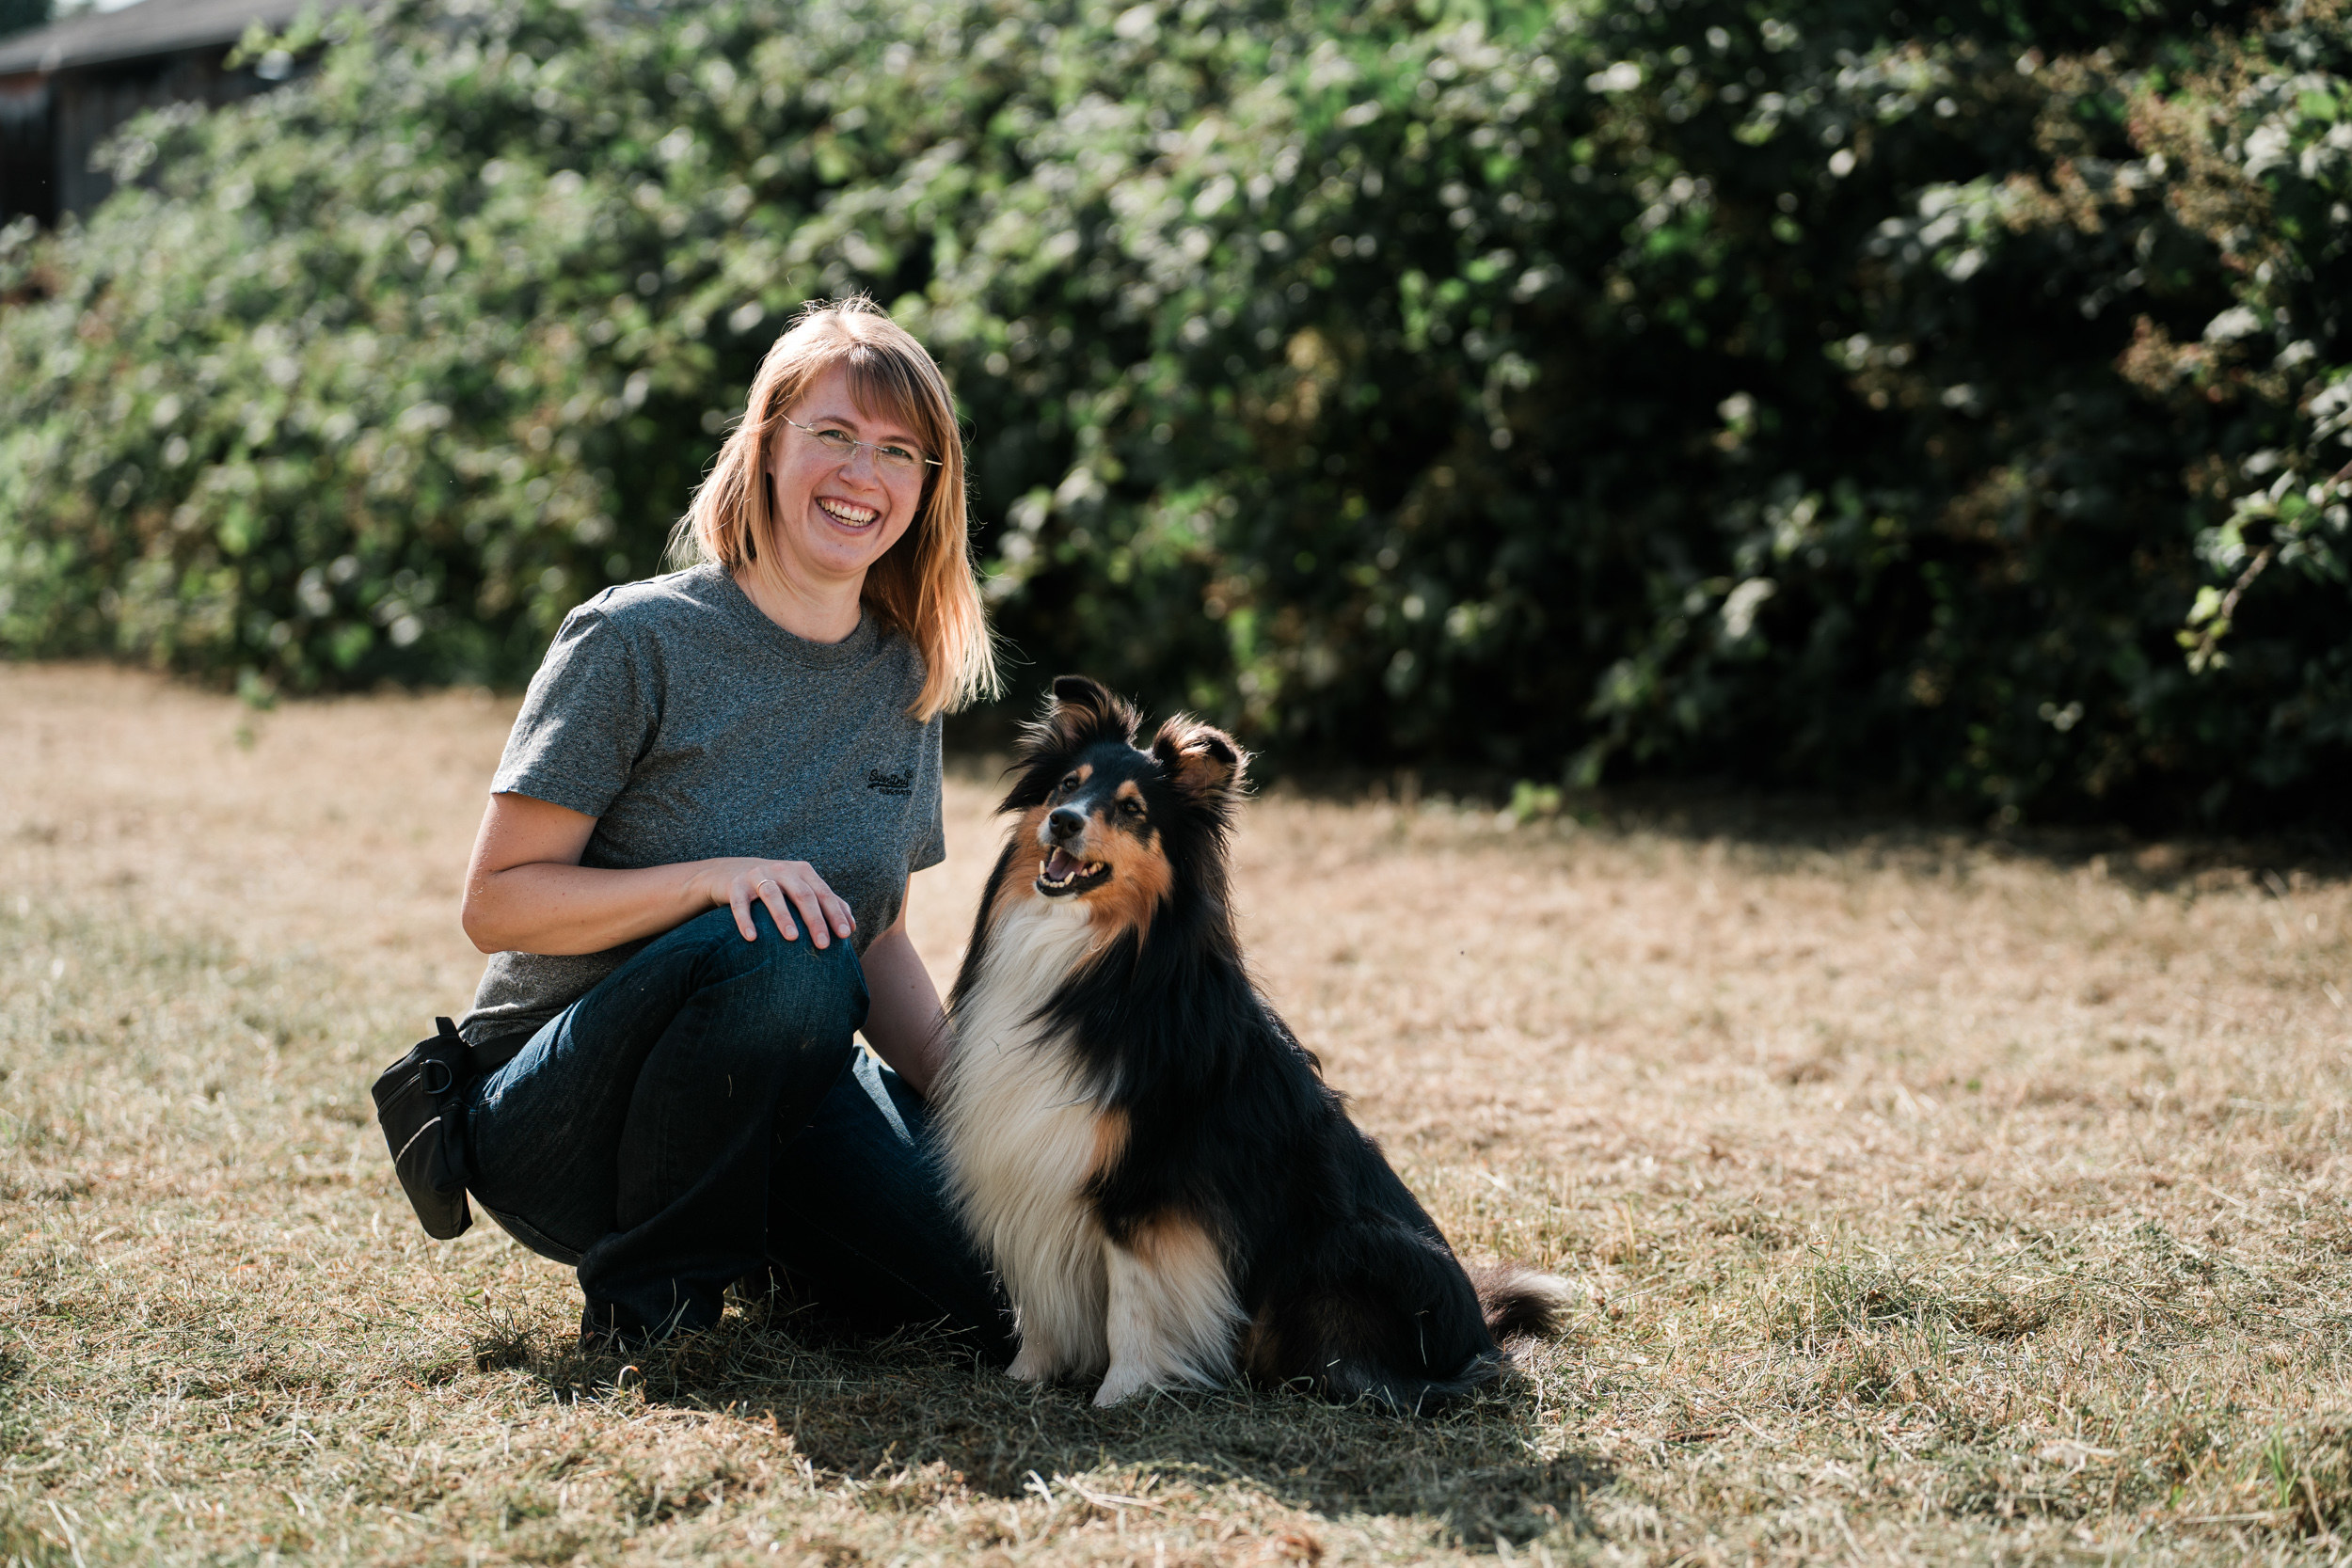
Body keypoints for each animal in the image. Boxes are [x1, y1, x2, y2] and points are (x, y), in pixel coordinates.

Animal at [927, 676, 1571, 1410]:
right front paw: (1023, 1378)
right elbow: (1039, 1297)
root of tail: (1481, 1338)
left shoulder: (1146, 1182)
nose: (1063, 821)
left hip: (1344, 1247)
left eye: (1131, 809)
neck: (1099, 959)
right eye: (1068, 783)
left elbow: (1133, 1304)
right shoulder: (1029, 1160)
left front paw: (1121, 1397)